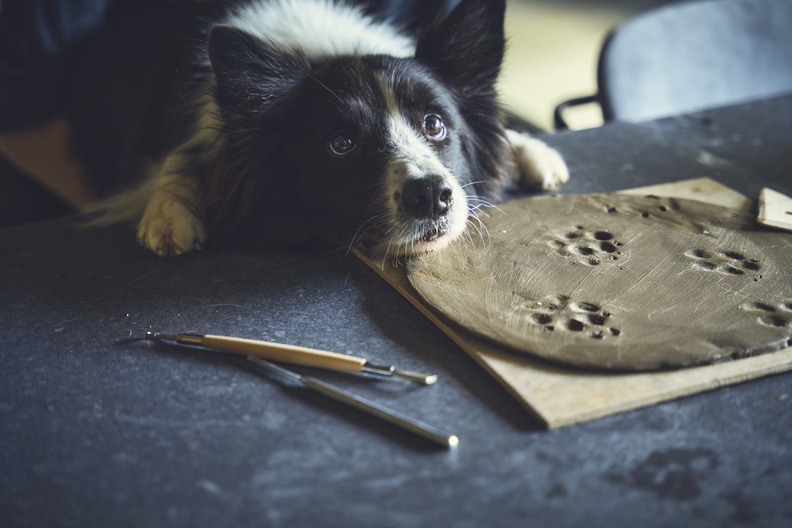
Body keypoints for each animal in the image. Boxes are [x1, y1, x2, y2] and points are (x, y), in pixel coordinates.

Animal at [82, 0, 568, 258]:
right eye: (342, 144)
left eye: (434, 124)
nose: (431, 194)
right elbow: (184, 149)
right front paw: (169, 210)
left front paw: (530, 149)